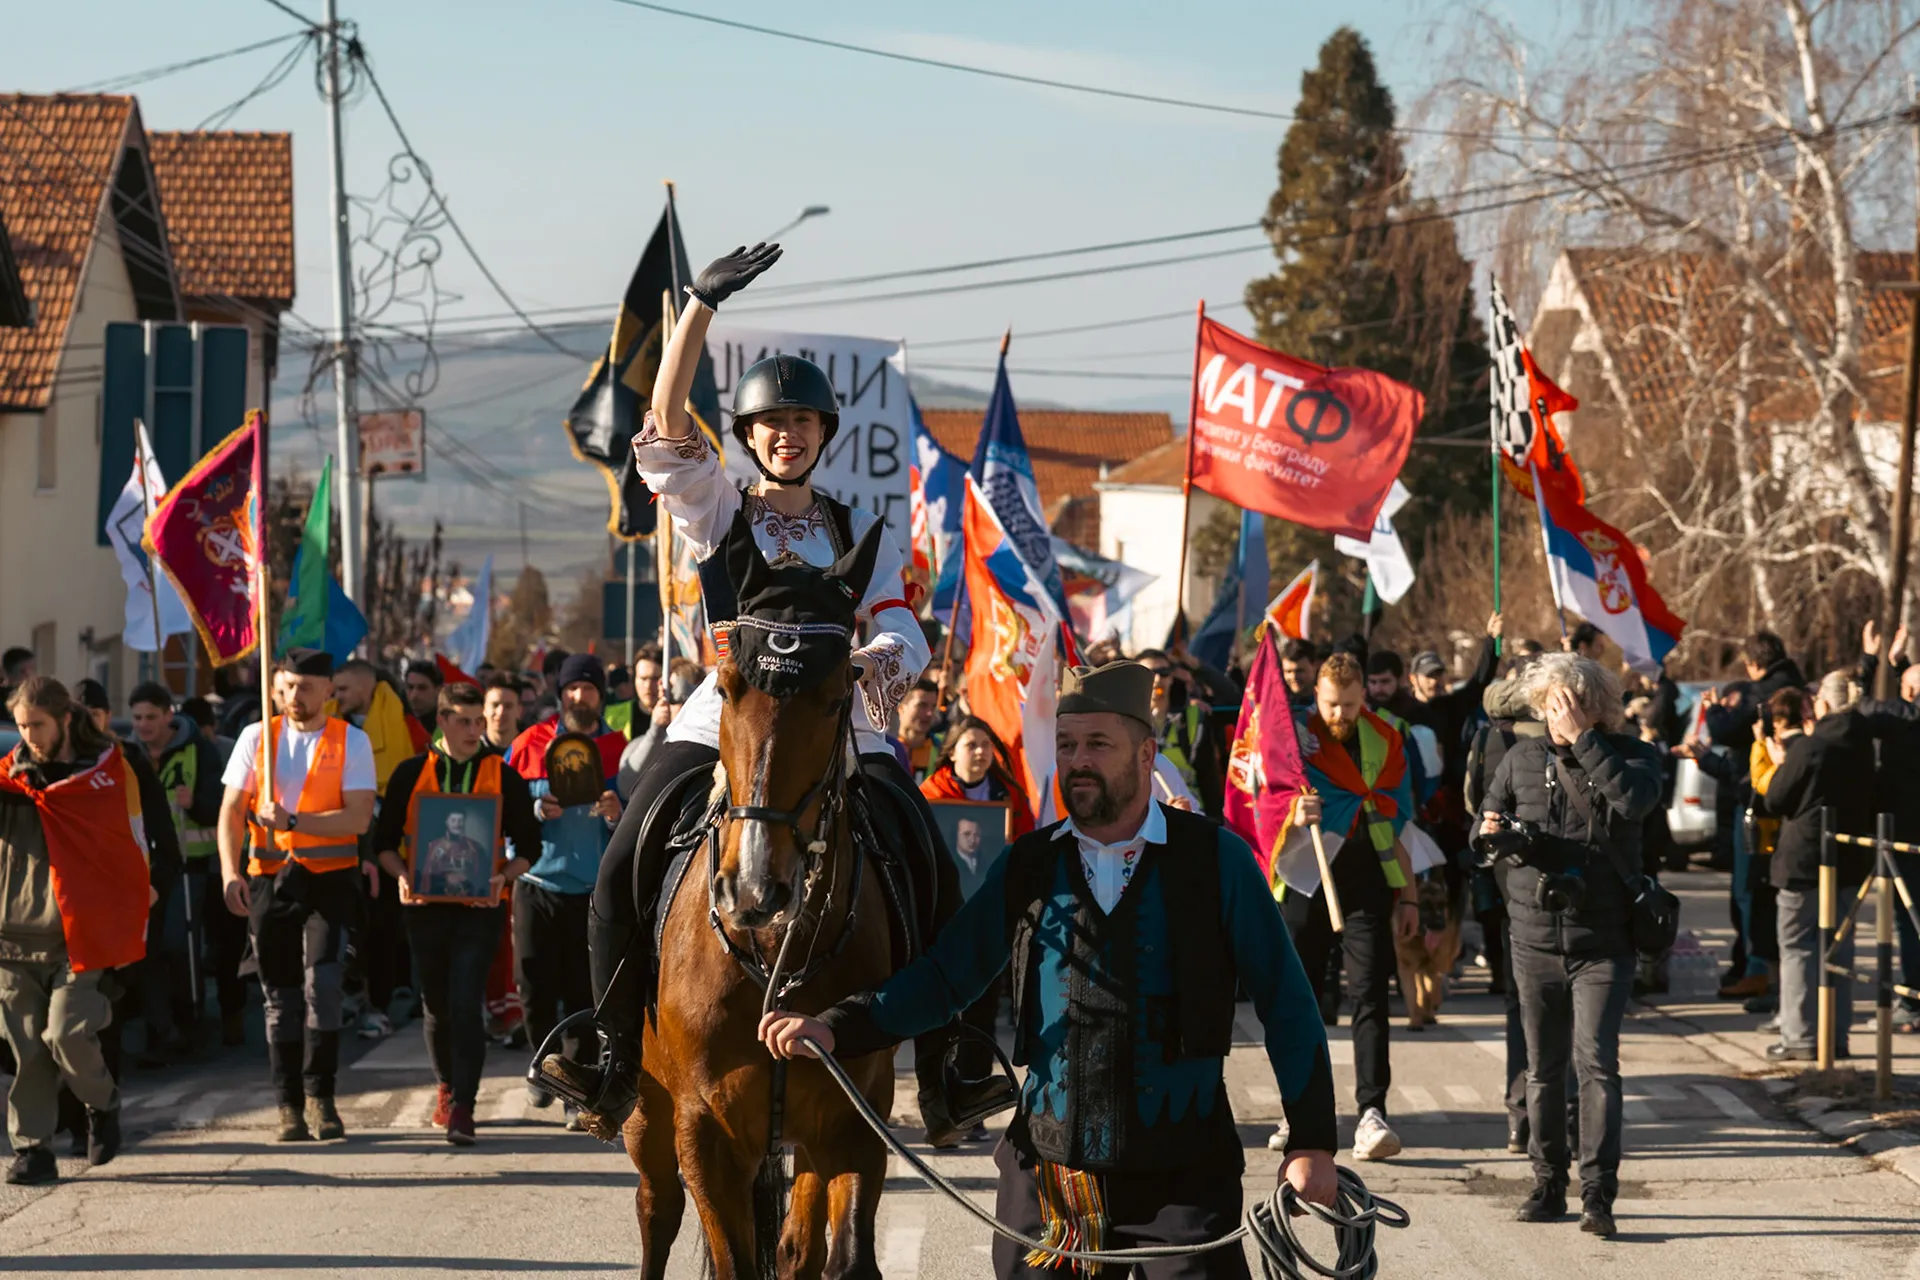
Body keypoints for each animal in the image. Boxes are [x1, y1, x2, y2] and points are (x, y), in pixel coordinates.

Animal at [625, 644, 902, 1274]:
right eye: (725, 690)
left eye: (836, 699)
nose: (753, 888)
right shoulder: (706, 1131)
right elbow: (735, 1261)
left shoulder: (852, 1119)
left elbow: (846, 1256)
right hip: (648, 1105)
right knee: (657, 1208)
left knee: (798, 1247)